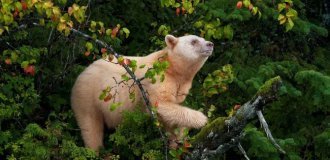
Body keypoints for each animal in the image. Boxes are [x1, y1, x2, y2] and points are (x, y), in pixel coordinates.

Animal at [71, 34, 214, 151]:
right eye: (194, 41)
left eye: (202, 38)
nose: (210, 44)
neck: (172, 68)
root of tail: (81, 75)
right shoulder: (156, 79)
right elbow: (160, 104)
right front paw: (202, 119)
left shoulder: (179, 86)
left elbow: (170, 115)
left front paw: (176, 141)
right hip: (88, 96)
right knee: (91, 127)